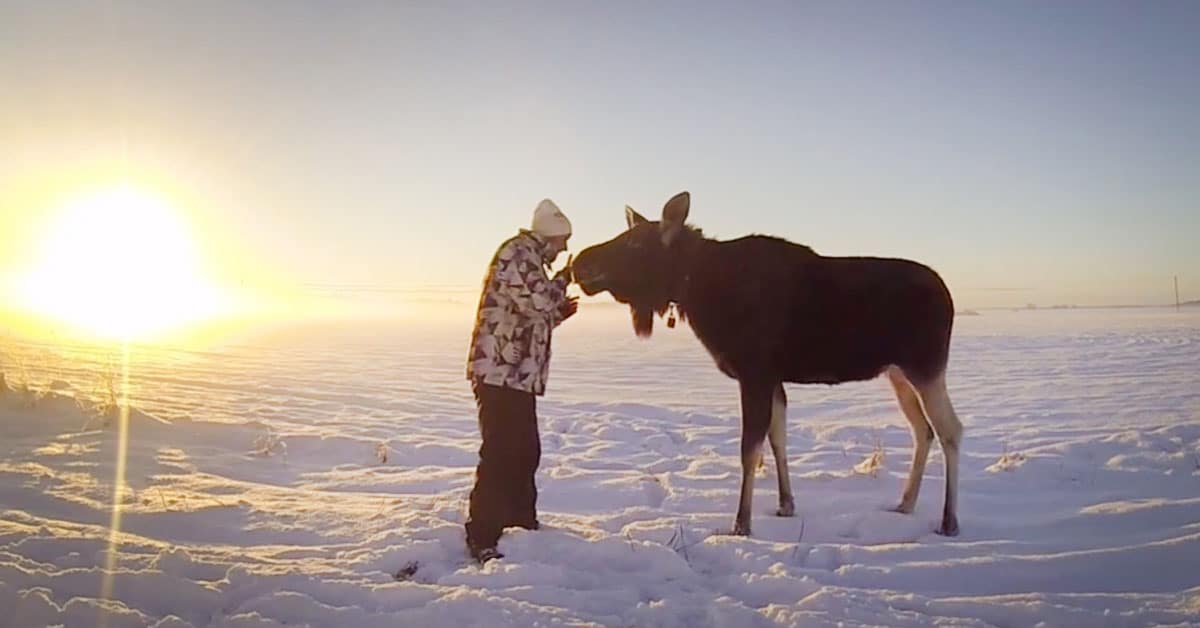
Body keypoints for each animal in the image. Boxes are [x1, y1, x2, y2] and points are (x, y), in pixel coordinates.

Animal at [573, 192, 964, 535]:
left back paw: (949, 520)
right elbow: (777, 439)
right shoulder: (773, 378)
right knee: (923, 429)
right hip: (898, 372)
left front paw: (741, 523)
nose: (579, 263)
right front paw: (785, 504)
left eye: (636, 244)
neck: (697, 291)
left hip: (926, 365)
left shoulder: (755, 373)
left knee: (950, 429)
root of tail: (949, 297)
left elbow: (750, 449)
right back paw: (906, 503)